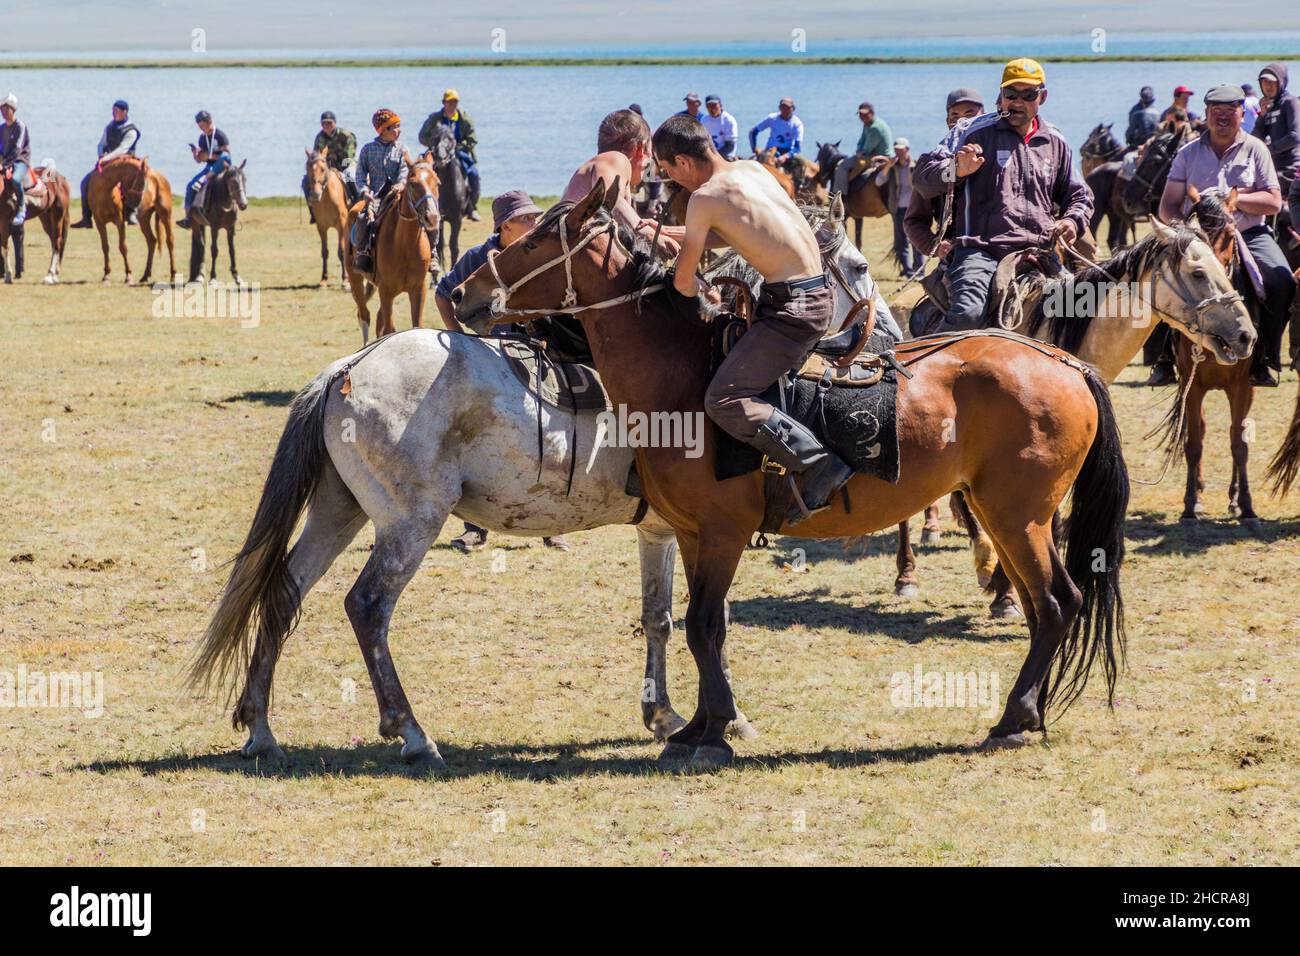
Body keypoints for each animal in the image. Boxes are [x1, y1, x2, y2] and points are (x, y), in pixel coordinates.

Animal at [86, 156, 177, 285]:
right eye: (140, 183)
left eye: (144, 184)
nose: (134, 206)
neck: (104, 189)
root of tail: (160, 177)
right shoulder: (99, 221)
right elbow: (105, 247)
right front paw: (106, 275)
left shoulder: (119, 221)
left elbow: (123, 247)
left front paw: (128, 276)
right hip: (144, 219)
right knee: (151, 241)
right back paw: (145, 276)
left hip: (165, 214)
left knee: (170, 241)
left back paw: (173, 275)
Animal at [303, 149, 350, 289]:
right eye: (308, 168)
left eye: (323, 169)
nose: (315, 194)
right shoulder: (321, 227)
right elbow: (324, 252)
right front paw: (323, 279)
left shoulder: (341, 226)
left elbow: (342, 251)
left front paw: (345, 280)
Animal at [344, 152, 439, 343]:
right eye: (413, 183)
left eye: (438, 182)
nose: (432, 217)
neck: (405, 246)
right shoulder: (386, 291)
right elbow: (389, 329)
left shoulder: (419, 290)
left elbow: (415, 325)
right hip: (354, 276)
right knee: (364, 315)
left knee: (377, 321)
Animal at [455, 177, 1136, 765]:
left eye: (535, 243)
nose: (462, 293)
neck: (680, 373)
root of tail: (1065, 363)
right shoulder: (694, 534)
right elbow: (707, 629)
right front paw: (701, 725)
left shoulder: (723, 530)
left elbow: (703, 625)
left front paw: (714, 734)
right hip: (1009, 518)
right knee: (1043, 606)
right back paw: (1027, 712)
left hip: (1018, 517)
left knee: (1057, 603)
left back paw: (1014, 717)